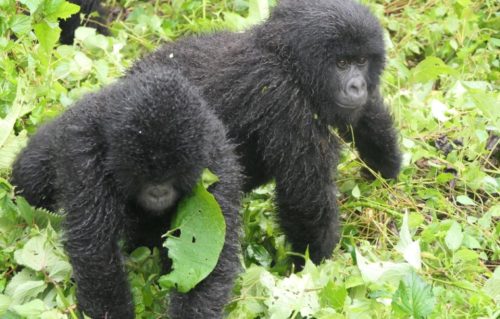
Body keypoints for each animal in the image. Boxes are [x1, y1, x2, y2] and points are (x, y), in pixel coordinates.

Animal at [9, 70, 240, 319]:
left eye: (174, 173)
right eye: (143, 173)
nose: (158, 192)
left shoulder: (216, 165)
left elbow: (209, 257)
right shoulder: (85, 154)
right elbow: (97, 250)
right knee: (32, 174)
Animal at [132, 0, 402, 266]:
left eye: (362, 61)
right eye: (342, 64)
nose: (357, 86)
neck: (284, 58)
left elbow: (366, 114)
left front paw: (385, 171)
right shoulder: (283, 98)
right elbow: (305, 198)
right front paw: (313, 262)